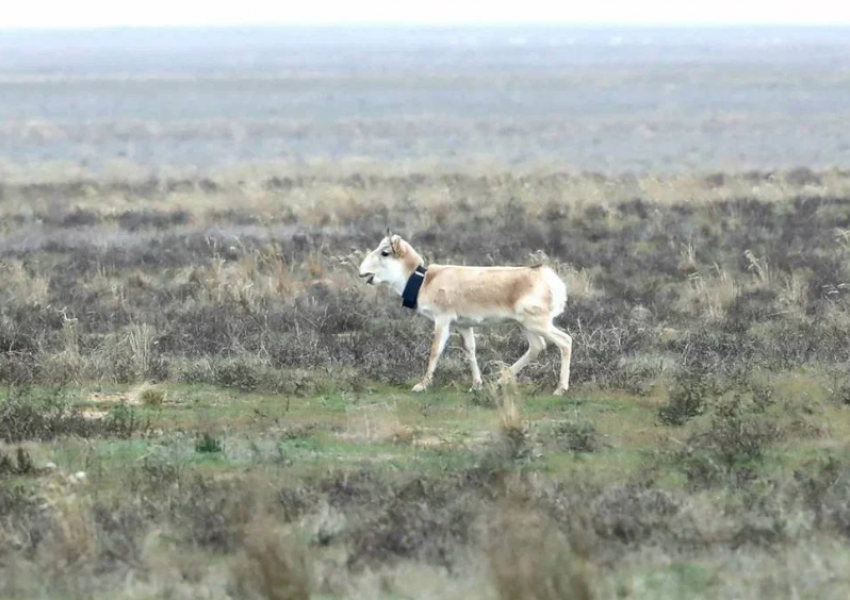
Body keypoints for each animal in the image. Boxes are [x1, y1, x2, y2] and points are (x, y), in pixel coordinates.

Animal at [358, 233, 568, 394]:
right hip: (526, 326)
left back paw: (560, 389)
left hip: (536, 324)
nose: (361, 271)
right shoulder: (464, 326)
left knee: (565, 341)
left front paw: (422, 385)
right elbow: (470, 351)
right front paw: (476, 385)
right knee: (537, 346)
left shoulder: (442, 321)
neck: (425, 280)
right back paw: (500, 381)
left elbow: (435, 350)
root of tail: (547, 276)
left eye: (385, 252)